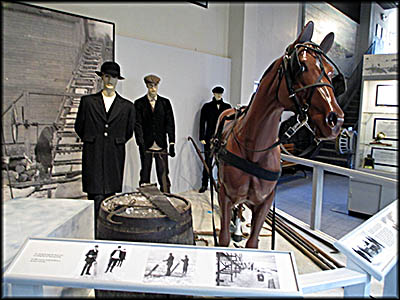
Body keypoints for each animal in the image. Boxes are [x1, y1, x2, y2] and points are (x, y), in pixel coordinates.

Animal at [214, 21, 346, 248]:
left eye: (330, 72)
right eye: (300, 66)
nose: (335, 120)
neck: (255, 150)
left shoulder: (265, 202)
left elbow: (253, 242)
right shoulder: (225, 194)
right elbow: (223, 238)